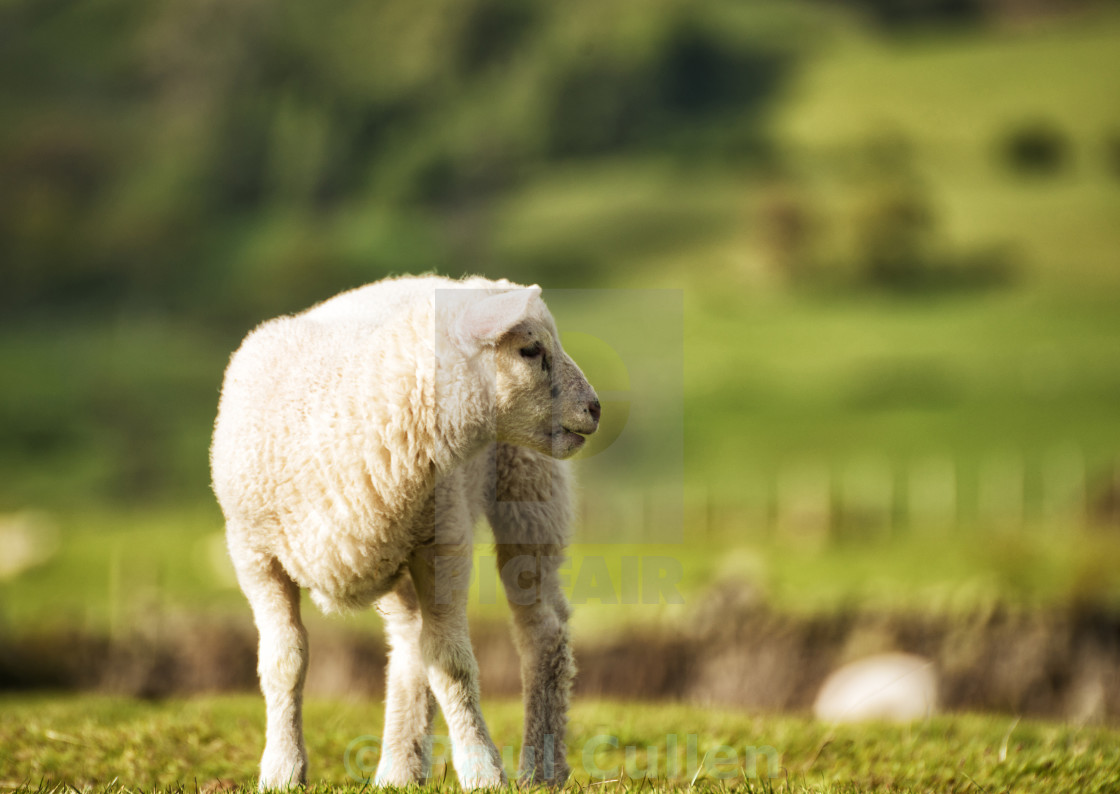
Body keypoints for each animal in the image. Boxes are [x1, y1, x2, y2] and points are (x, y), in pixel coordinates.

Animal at [207, 272, 600, 788]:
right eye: (530, 350)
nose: (595, 408)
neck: (338, 412)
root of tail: (439, 277)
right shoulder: (254, 555)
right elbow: (283, 662)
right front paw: (282, 770)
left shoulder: (443, 543)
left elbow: (451, 664)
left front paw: (482, 771)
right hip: (391, 545)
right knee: (409, 646)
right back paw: (399, 768)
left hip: (530, 493)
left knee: (543, 631)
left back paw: (541, 768)